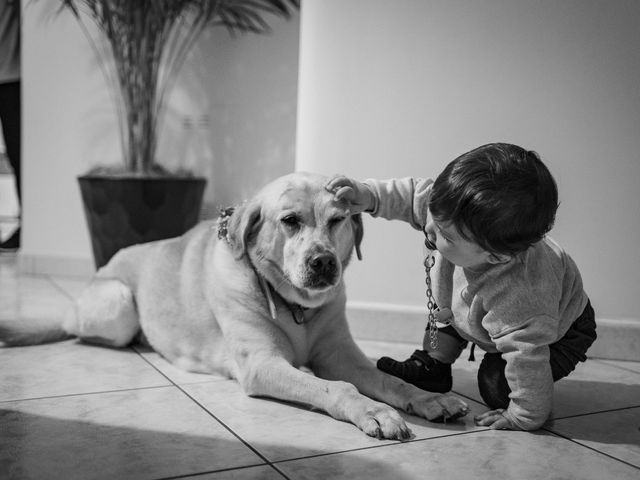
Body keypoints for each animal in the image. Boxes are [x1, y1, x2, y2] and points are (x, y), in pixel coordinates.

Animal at [1, 172, 470, 438]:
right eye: (290, 221)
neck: (296, 307)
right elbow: (336, 387)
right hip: (118, 305)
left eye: (337, 221)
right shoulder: (264, 364)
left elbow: (388, 381)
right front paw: (372, 411)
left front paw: (428, 399)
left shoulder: (342, 356)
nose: (324, 262)